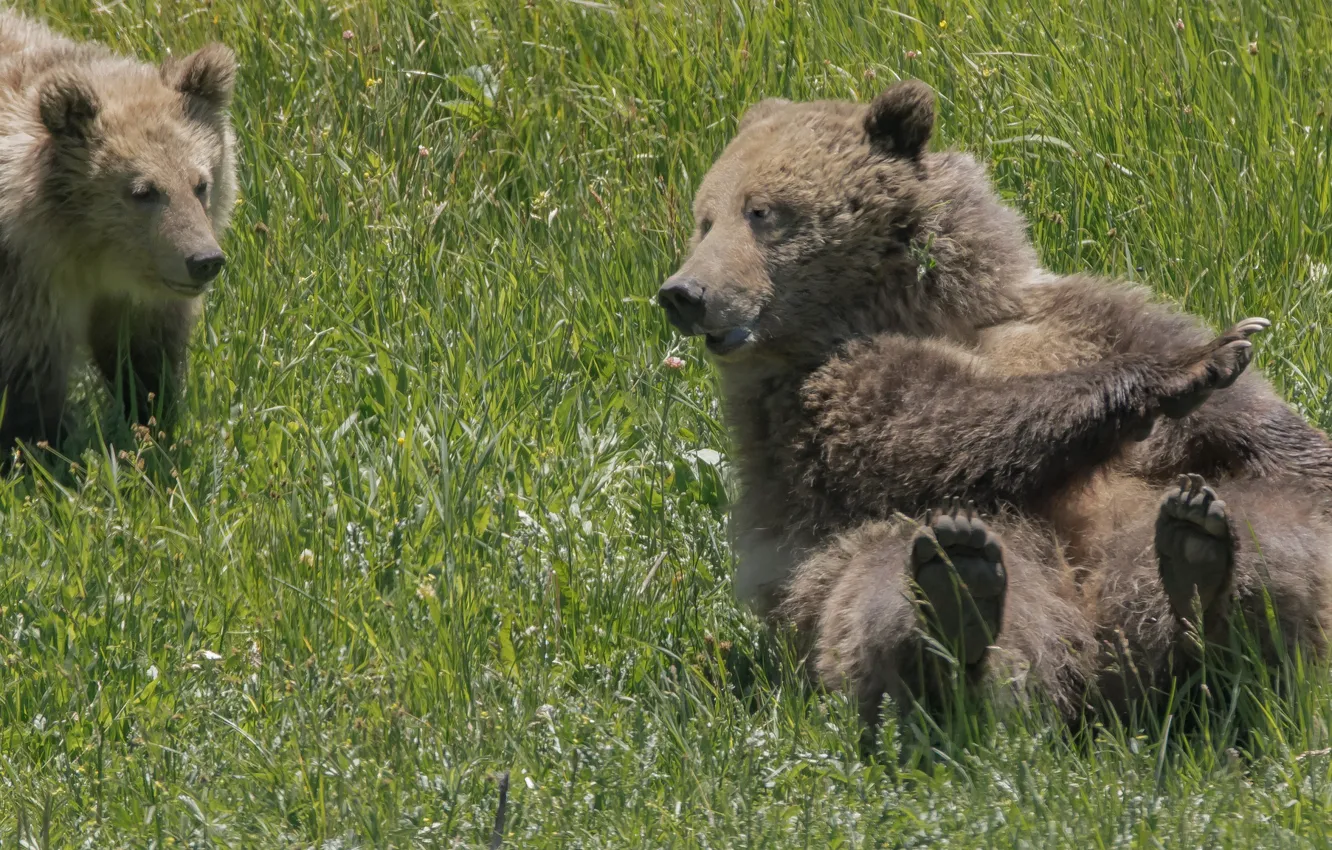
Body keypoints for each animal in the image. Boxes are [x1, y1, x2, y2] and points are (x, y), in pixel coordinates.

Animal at [0, 10, 238, 461]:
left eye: (200, 183)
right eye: (144, 191)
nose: (205, 261)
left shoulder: (136, 298)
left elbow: (143, 356)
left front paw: (152, 425)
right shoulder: (29, 288)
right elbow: (31, 375)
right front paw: (41, 451)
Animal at [656, 79, 1332, 740]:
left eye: (761, 211)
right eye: (706, 218)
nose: (683, 292)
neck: (927, 311)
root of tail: (1102, 680)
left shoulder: (1080, 317)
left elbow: (1245, 422)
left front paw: (1224, 360)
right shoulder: (818, 397)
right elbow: (936, 427)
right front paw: (1184, 370)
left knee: (1268, 538)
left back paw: (1206, 582)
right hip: (846, 576)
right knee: (893, 576)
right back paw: (957, 607)